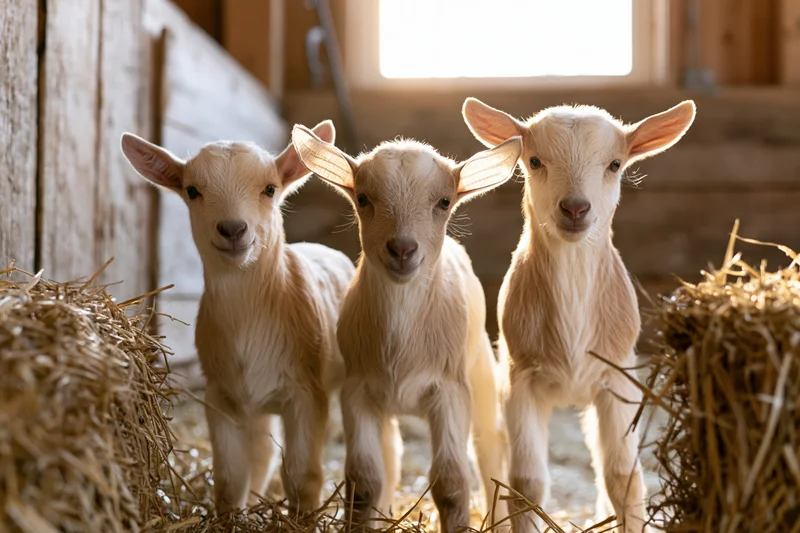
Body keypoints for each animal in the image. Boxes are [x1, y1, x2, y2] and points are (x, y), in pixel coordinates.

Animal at [120, 121, 355, 515]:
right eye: (193, 191)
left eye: (270, 188)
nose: (232, 229)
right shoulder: (221, 395)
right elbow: (231, 478)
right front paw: (231, 516)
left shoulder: (306, 394)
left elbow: (303, 476)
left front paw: (303, 517)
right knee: (261, 453)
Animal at [291, 125, 522, 532]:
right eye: (363, 198)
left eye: (444, 201)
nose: (402, 249)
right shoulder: (357, 392)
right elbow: (363, 481)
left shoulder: (449, 391)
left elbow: (451, 483)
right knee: (391, 455)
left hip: (479, 373)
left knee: (489, 444)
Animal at [462, 98, 696, 533]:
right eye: (534, 160)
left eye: (615, 164)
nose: (575, 208)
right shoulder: (520, 381)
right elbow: (526, 482)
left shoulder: (616, 381)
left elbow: (622, 476)